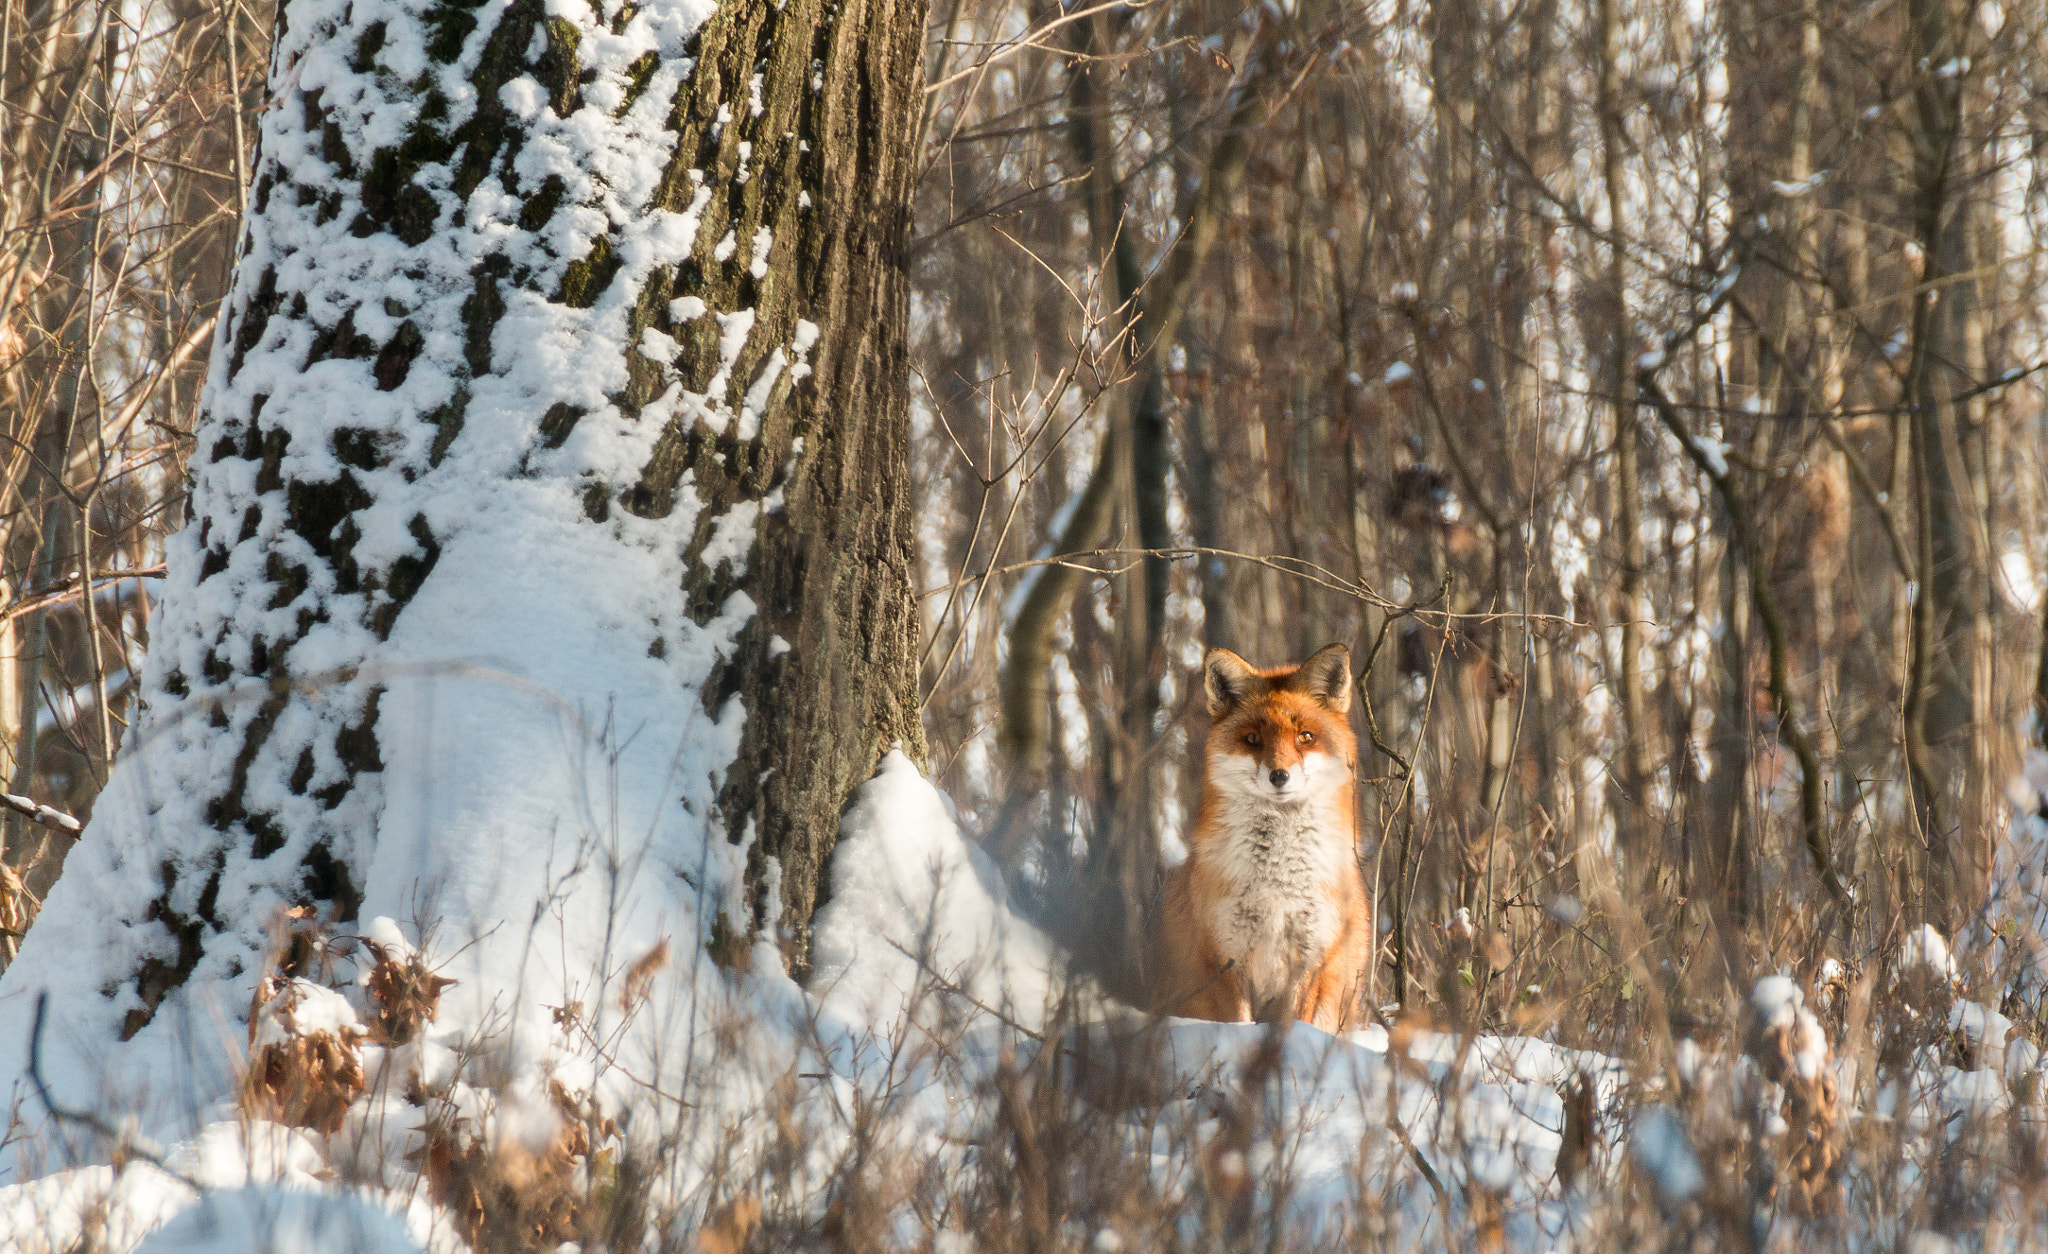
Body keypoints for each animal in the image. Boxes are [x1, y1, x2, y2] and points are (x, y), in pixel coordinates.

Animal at [1163, 647, 1368, 1028]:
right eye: (1253, 740)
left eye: (1305, 737)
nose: (1279, 776)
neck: (1278, 883)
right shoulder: (1225, 957)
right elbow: (1238, 1025)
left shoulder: (1311, 959)